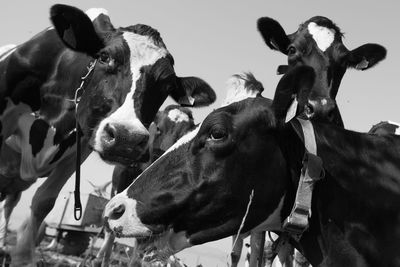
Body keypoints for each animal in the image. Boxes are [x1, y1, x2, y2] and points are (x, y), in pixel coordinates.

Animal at [0, 4, 216, 266]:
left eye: (167, 86)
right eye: (104, 57)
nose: (126, 138)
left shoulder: (82, 145)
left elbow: (44, 201)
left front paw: (22, 256)